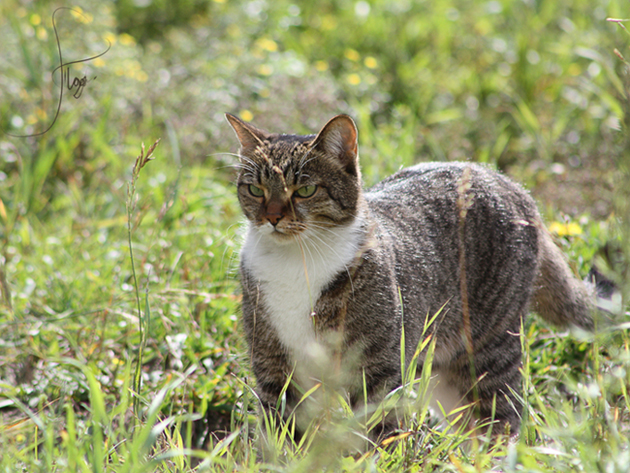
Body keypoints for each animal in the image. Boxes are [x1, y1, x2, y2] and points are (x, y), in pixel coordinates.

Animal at [227, 112, 596, 436]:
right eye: (256, 189)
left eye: (304, 191)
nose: (272, 217)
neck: (295, 260)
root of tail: (511, 184)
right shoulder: (273, 365)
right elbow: (280, 433)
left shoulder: (378, 368)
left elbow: (379, 434)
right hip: (443, 375)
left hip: (489, 351)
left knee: (503, 421)